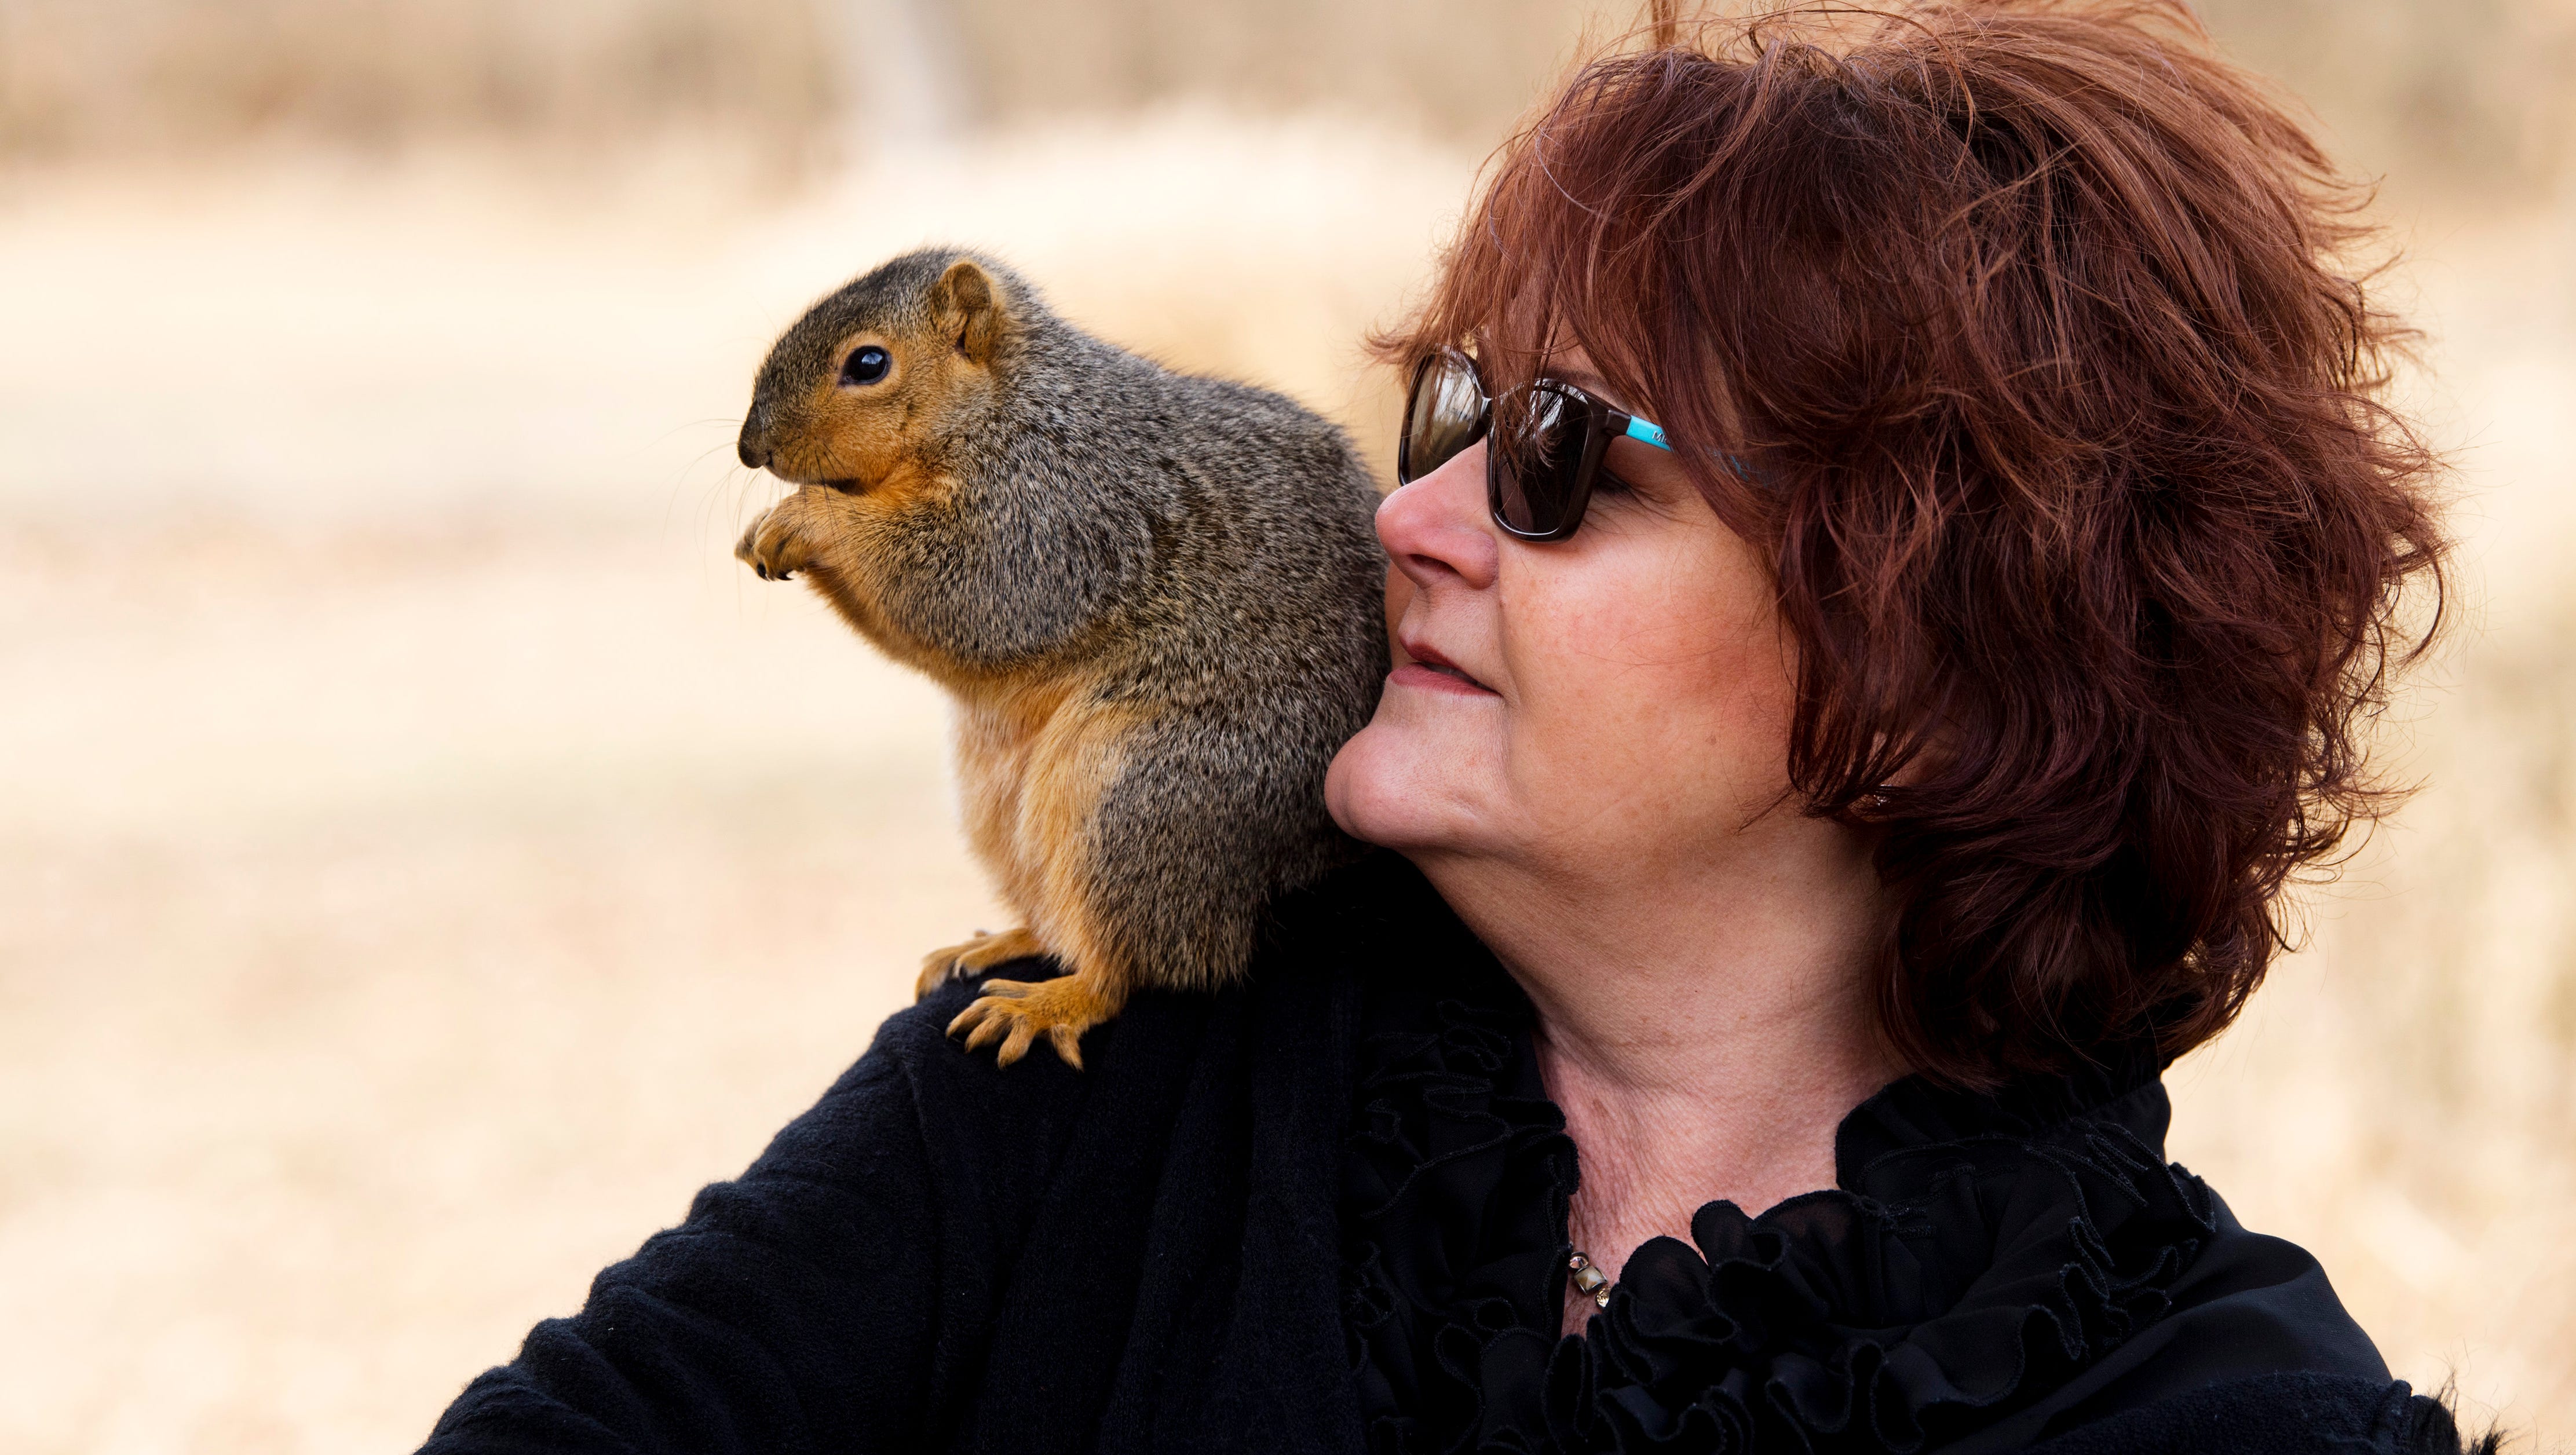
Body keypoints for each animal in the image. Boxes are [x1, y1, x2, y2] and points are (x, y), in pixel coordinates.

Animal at [733, 248, 1387, 1069]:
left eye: (869, 363)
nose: (750, 449)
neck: (1009, 406)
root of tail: (1301, 864)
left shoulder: (1059, 511)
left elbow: (966, 589)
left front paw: (808, 517)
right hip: (1006, 796)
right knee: (1058, 918)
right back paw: (998, 942)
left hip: (1146, 792)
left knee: (1150, 965)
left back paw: (1052, 1003)